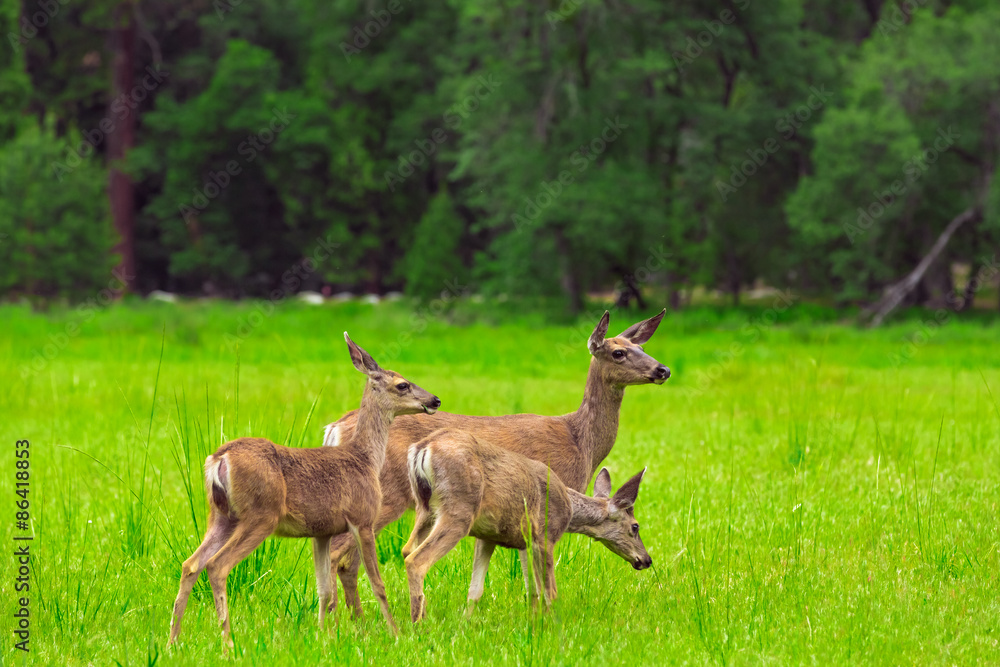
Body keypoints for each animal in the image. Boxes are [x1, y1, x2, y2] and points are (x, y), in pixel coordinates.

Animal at [169, 332, 442, 648]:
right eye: (402, 384)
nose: (434, 400)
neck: (365, 459)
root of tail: (218, 459)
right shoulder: (362, 518)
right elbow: (377, 583)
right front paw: (395, 633)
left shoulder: (320, 531)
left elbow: (323, 589)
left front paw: (324, 635)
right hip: (261, 515)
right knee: (217, 566)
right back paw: (227, 642)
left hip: (221, 516)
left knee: (190, 565)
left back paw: (173, 641)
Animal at [402, 430, 652, 624]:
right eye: (635, 527)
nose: (647, 560)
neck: (570, 508)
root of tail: (423, 448)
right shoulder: (545, 536)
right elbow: (550, 591)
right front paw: (553, 627)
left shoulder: (498, 538)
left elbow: (485, 589)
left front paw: (469, 623)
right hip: (459, 512)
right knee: (416, 560)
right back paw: (418, 625)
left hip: (425, 509)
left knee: (406, 549)